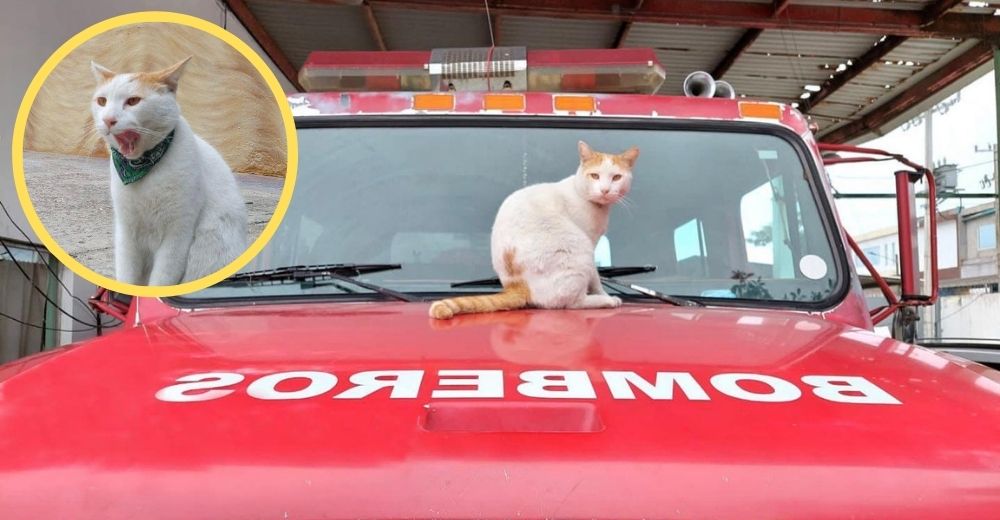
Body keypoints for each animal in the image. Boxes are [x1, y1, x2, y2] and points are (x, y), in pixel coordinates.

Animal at [90, 58, 248, 286]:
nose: (108, 120)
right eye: (102, 101)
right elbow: (127, 277)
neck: (142, 168)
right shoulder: (126, 231)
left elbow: (161, 281)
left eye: (133, 101)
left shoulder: (178, 234)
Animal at [430, 140, 640, 318]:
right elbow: (596, 278)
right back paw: (606, 301)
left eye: (616, 177)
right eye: (595, 176)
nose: (605, 190)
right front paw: (604, 293)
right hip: (579, 249)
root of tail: (517, 285)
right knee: (571, 302)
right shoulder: (590, 241)